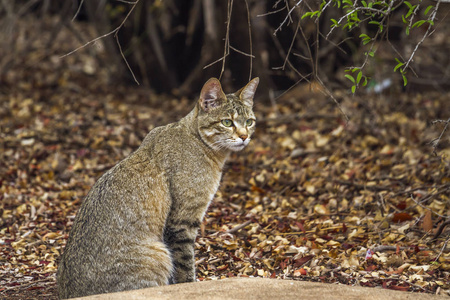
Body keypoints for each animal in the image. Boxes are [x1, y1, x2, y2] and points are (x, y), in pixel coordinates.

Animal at [57, 77, 258, 298]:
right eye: (227, 122)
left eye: (249, 122)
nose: (244, 136)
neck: (201, 143)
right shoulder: (182, 220)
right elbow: (185, 265)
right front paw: (190, 286)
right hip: (158, 254)